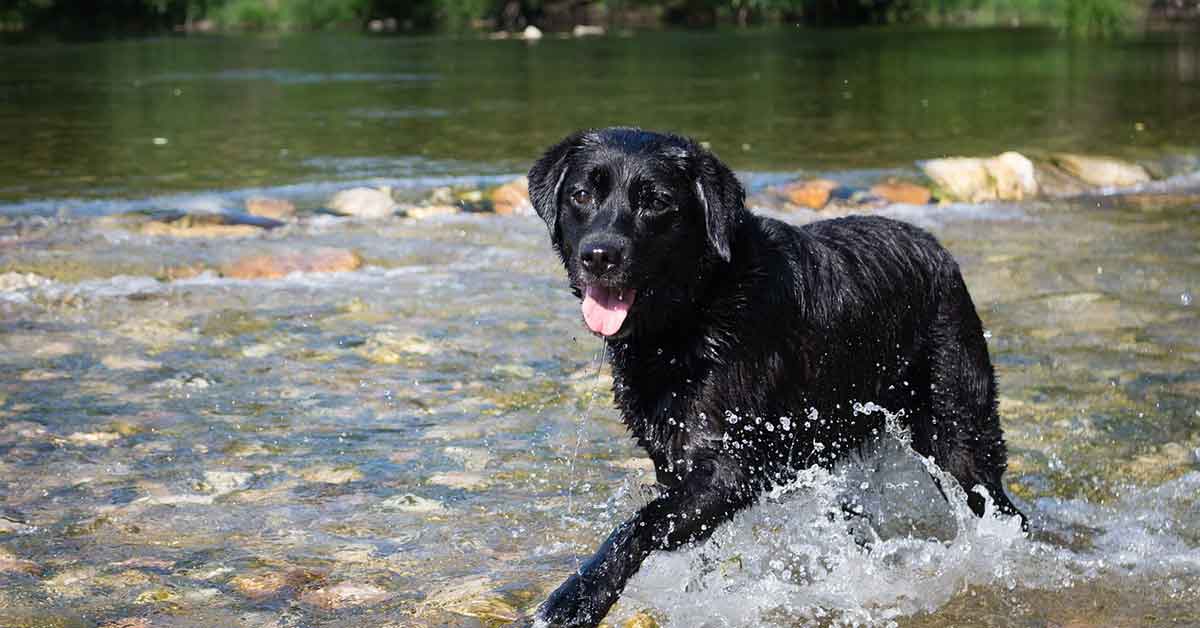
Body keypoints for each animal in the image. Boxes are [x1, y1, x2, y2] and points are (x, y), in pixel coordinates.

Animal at [520, 129, 1027, 628]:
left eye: (657, 202)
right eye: (582, 195)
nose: (599, 255)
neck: (694, 311)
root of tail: (939, 251)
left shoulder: (731, 465)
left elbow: (640, 524)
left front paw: (576, 598)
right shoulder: (675, 460)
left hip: (957, 432)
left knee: (1000, 505)